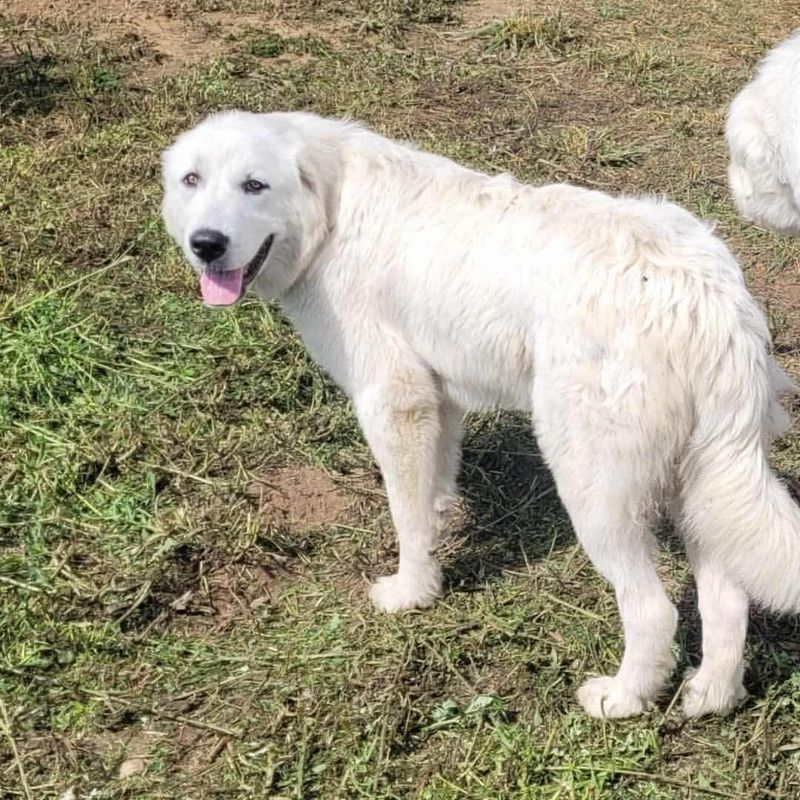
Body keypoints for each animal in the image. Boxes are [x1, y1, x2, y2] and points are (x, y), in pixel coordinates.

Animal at [162, 111, 800, 720]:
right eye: (192, 180)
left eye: (255, 185)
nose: (206, 244)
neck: (332, 210)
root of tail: (705, 295)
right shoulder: (436, 399)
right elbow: (431, 497)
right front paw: (436, 549)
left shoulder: (393, 399)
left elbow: (406, 516)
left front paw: (410, 594)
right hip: (702, 487)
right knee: (727, 599)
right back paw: (712, 696)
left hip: (594, 488)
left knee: (655, 611)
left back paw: (622, 699)